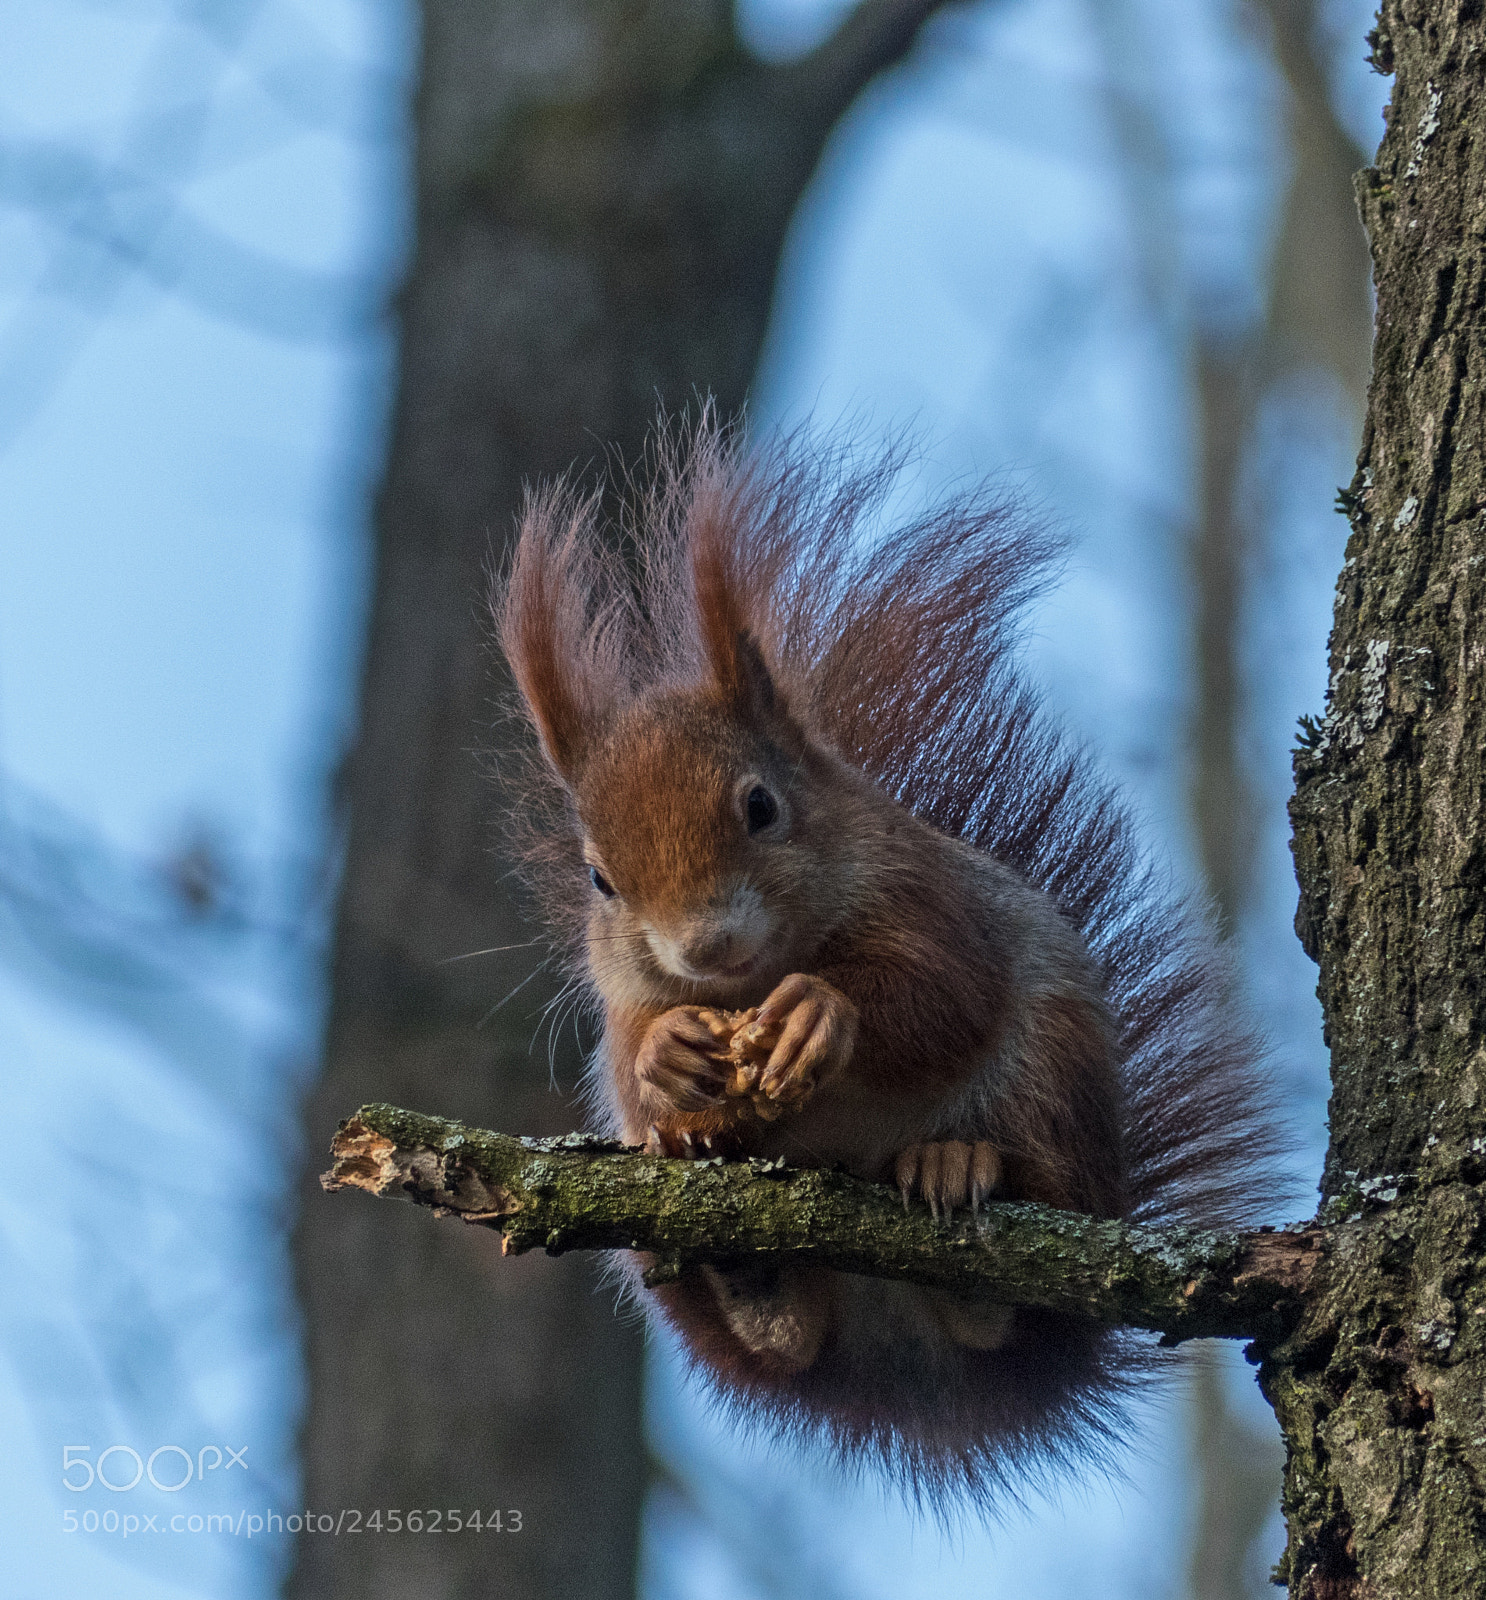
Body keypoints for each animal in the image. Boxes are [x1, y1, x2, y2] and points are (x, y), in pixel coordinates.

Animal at [494, 417, 1285, 1504]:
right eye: (599, 879)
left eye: (760, 806)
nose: (705, 946)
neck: (754, 976)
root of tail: (902, 1352)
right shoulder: (620, 1001)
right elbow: (626, 1053)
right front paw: (670, 1059)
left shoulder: (934, 901)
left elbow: (944, 992)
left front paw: (820, 1014)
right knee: (779, 1334)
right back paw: (747, 1268)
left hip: (1053, 1085)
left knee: (1019, 1271)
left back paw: (957, 1166)